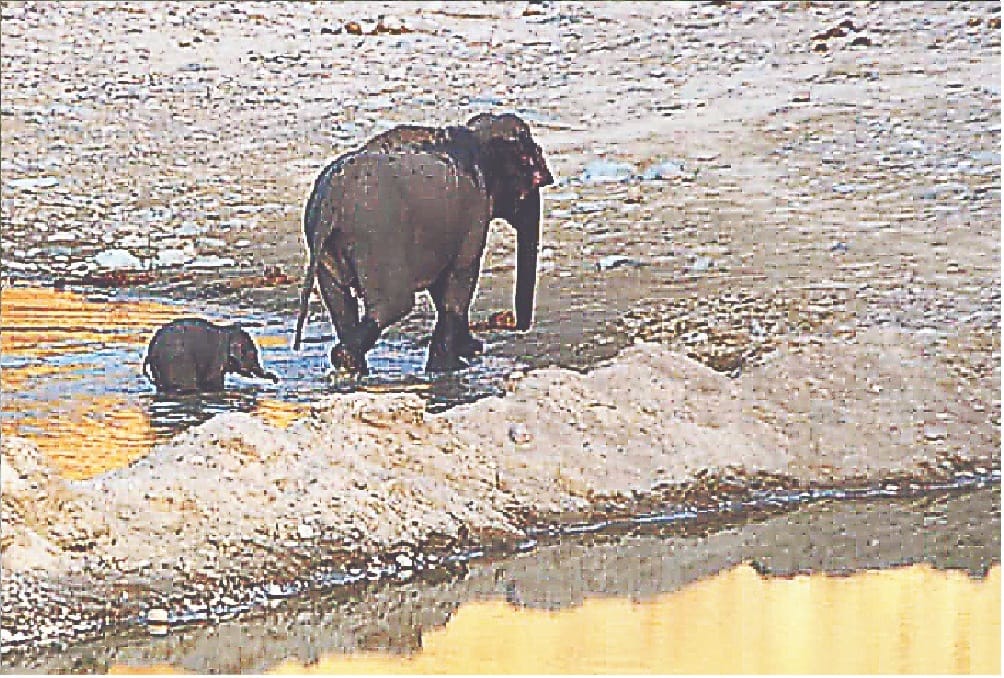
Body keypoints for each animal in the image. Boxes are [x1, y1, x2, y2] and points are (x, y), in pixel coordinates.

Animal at [143, 318, 279, 393]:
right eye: (251, 354)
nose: (276, 379)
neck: (227, 331)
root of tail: (150, 354)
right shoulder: (217, 357)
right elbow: (213, 380)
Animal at [293, 113, 553, 374]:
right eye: (535, 179)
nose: (520, 328)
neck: (478, 136)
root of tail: (331, 202)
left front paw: (467, 352)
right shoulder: (474, 214)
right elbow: (459, 279)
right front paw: (449, 367)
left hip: (325, 244)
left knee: (340, 302)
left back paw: (352, 366)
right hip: (377, 239)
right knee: (394, 304)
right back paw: (348, 360)